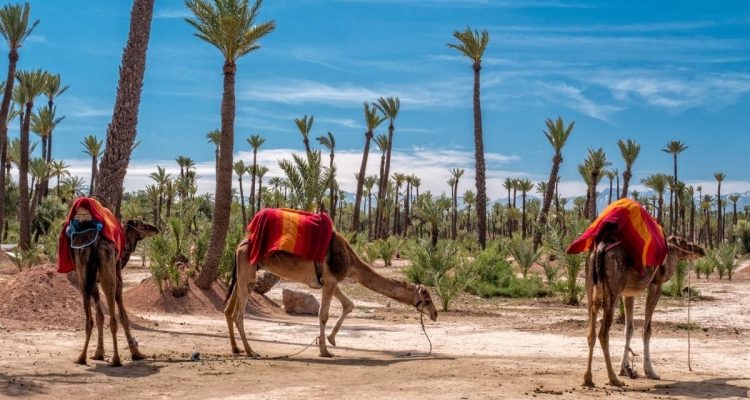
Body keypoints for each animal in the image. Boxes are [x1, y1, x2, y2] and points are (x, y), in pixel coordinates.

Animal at [71, 217, 159, 366]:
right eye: (142, 223)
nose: (156, 229)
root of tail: (94, 244)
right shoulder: (119, 279)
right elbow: (123, 316)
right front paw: (136, 353)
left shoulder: (93, 282)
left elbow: (100, 316)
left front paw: (98, 353)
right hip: (108, 273)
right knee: (113, 319)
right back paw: (116, 359)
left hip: (83, 277)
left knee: (89, 320)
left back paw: (81, 357)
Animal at [224, 231, 438, 358]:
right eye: (427, 299)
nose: (435, 314)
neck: (350, 261)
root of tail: (239, 245)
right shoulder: (331, 279)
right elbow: (324, 314)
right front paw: (324, 350)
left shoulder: (330, 281)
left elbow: (349, 304)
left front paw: (331, 339)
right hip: (248, 273)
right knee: (238, 313)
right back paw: (251, 351)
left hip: (242, 273)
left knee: (228, 310)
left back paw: (236, 349)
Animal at [583, 235, 705, 387]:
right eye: (684, 242)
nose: (701, 250)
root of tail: (599, 249)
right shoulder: (655, 285)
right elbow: (647, 330)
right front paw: (650, 372)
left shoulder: (628, 292)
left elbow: (629, 329)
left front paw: (624, 369)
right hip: (613, 289)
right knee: (603, 333)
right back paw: (613, 379)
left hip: (590, 286)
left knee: (591, 332)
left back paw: (588, 379)